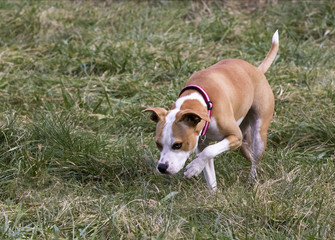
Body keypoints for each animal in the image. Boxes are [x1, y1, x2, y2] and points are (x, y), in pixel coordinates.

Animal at [143, 30, 280, 191]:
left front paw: (193, 168)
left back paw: (252, 180)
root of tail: (257, 70)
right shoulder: (203, 143)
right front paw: (213, 193)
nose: (162, 167)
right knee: (251, 157)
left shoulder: (234, 137)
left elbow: (209, 152)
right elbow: (209, 172)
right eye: (158, 144)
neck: (202, 103)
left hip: (258, 135)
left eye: (177, 145)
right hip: (243, 142)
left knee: (256, 159)